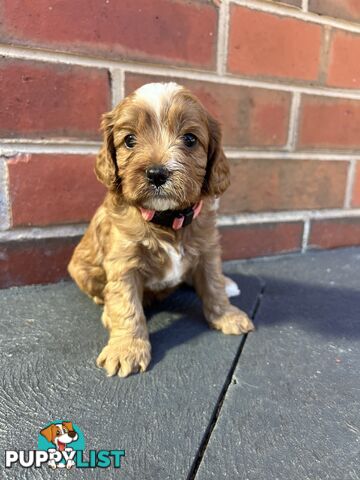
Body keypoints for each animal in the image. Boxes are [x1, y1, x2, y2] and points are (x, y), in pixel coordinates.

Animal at [67, 80, 253, 376]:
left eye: (190, 139)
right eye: (129, 140)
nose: (157, 173)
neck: (167, 218)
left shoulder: (208, 250)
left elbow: (212, 283)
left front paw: (227, 315)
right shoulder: (123, 262)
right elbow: (126, 305)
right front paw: (127, 349)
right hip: (81, 268)